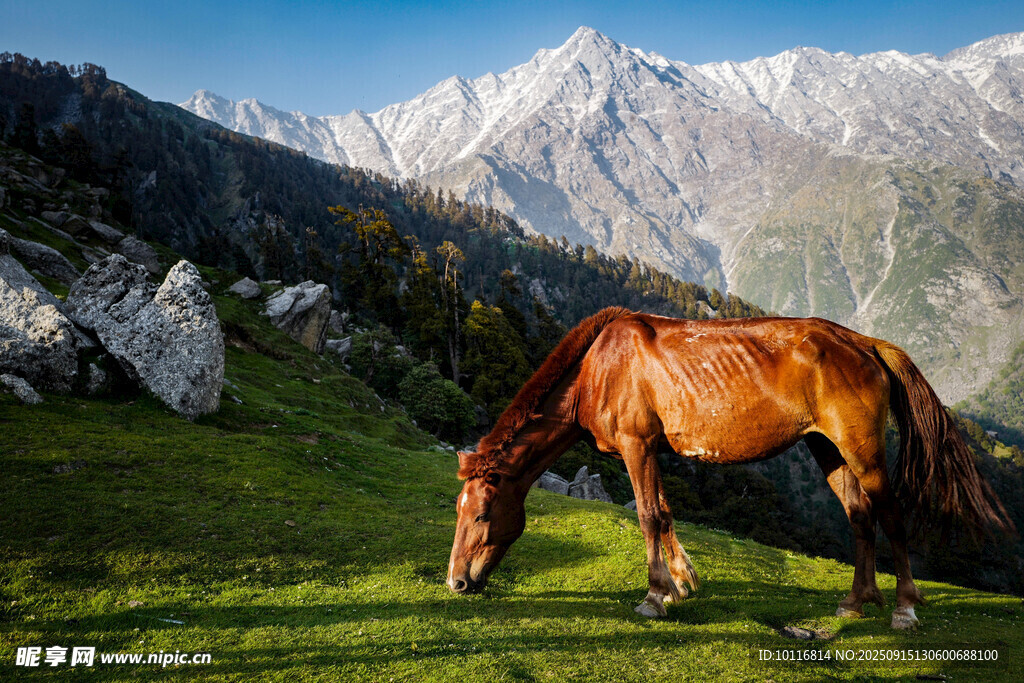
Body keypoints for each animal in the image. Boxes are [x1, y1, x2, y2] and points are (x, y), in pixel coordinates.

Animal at [446, 307, 1013, 629]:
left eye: (480, 515)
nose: (456, 583)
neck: (598, 367)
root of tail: (865, 344)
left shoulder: (637, 445)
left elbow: (647, 517)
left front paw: (654, 597)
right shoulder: (651, 449)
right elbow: (664, 514)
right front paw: (680, 585)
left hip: (862, 448)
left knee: (891, 515)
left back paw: (903, 608)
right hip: (828, 449)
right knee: (859, 517)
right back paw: (856, 602)